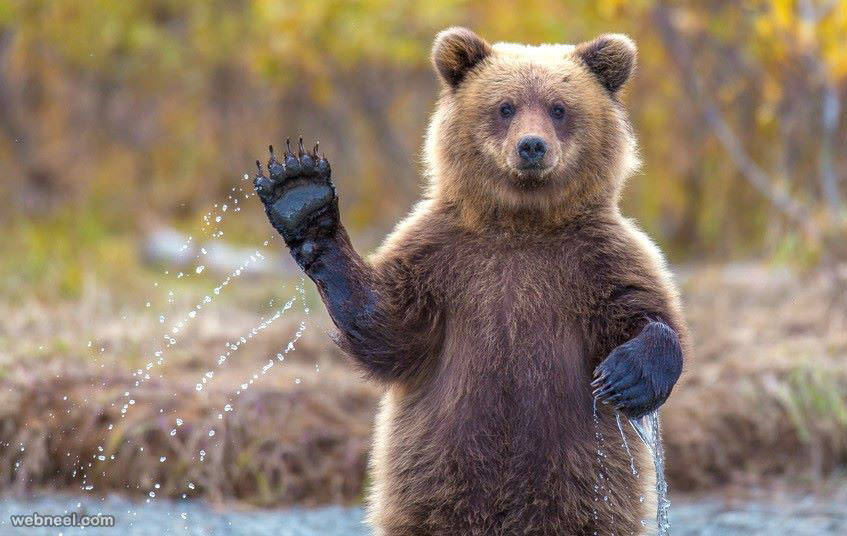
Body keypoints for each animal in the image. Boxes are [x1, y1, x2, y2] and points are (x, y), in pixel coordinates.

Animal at [253, 27, 689, 535]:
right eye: (505, 106)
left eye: (559, 108)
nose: (532, 146)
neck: (522, 223)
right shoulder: (442, 257)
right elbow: (388, 327)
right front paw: (301, 195)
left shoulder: (597, 258)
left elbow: (645, 311)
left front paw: (625, 376)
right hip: (435, 480)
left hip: (584, 486)